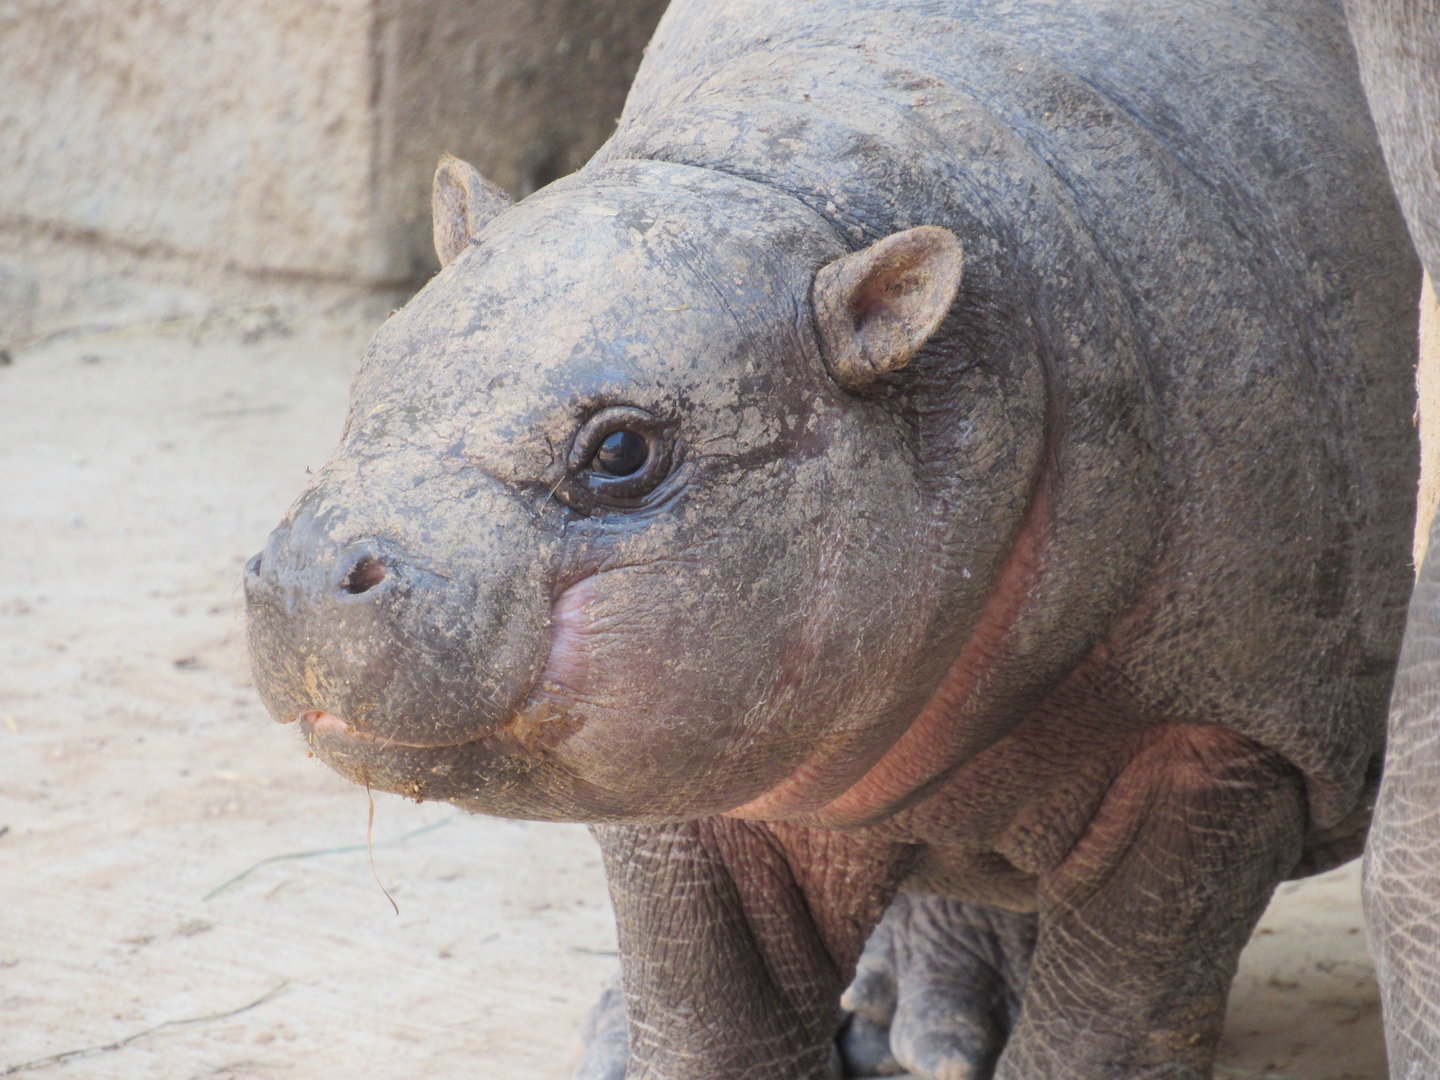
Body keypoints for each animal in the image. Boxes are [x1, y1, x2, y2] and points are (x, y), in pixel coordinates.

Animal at [244, 0, 1420, 1077]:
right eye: (376, 357)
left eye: (621, 448)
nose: (306, 569)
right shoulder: (693, 774)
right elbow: (714, 1021)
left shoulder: (1229, 742)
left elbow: (1109, 1028)